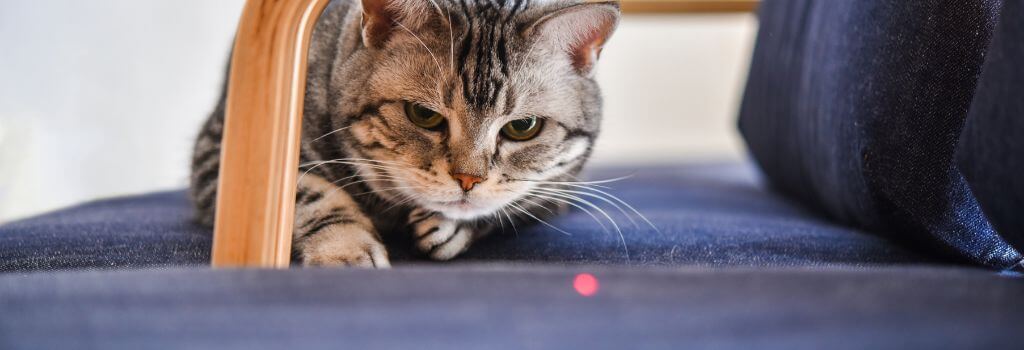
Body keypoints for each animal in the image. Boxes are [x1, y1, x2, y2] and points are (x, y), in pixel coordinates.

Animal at [192, 0, 622, 266]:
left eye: (522, 127)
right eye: (423, 115)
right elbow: (311, 193)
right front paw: (345, 250)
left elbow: (507, 207)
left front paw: (449, 225)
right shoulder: (221, 153)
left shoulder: (559, 189)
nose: (468, 179)